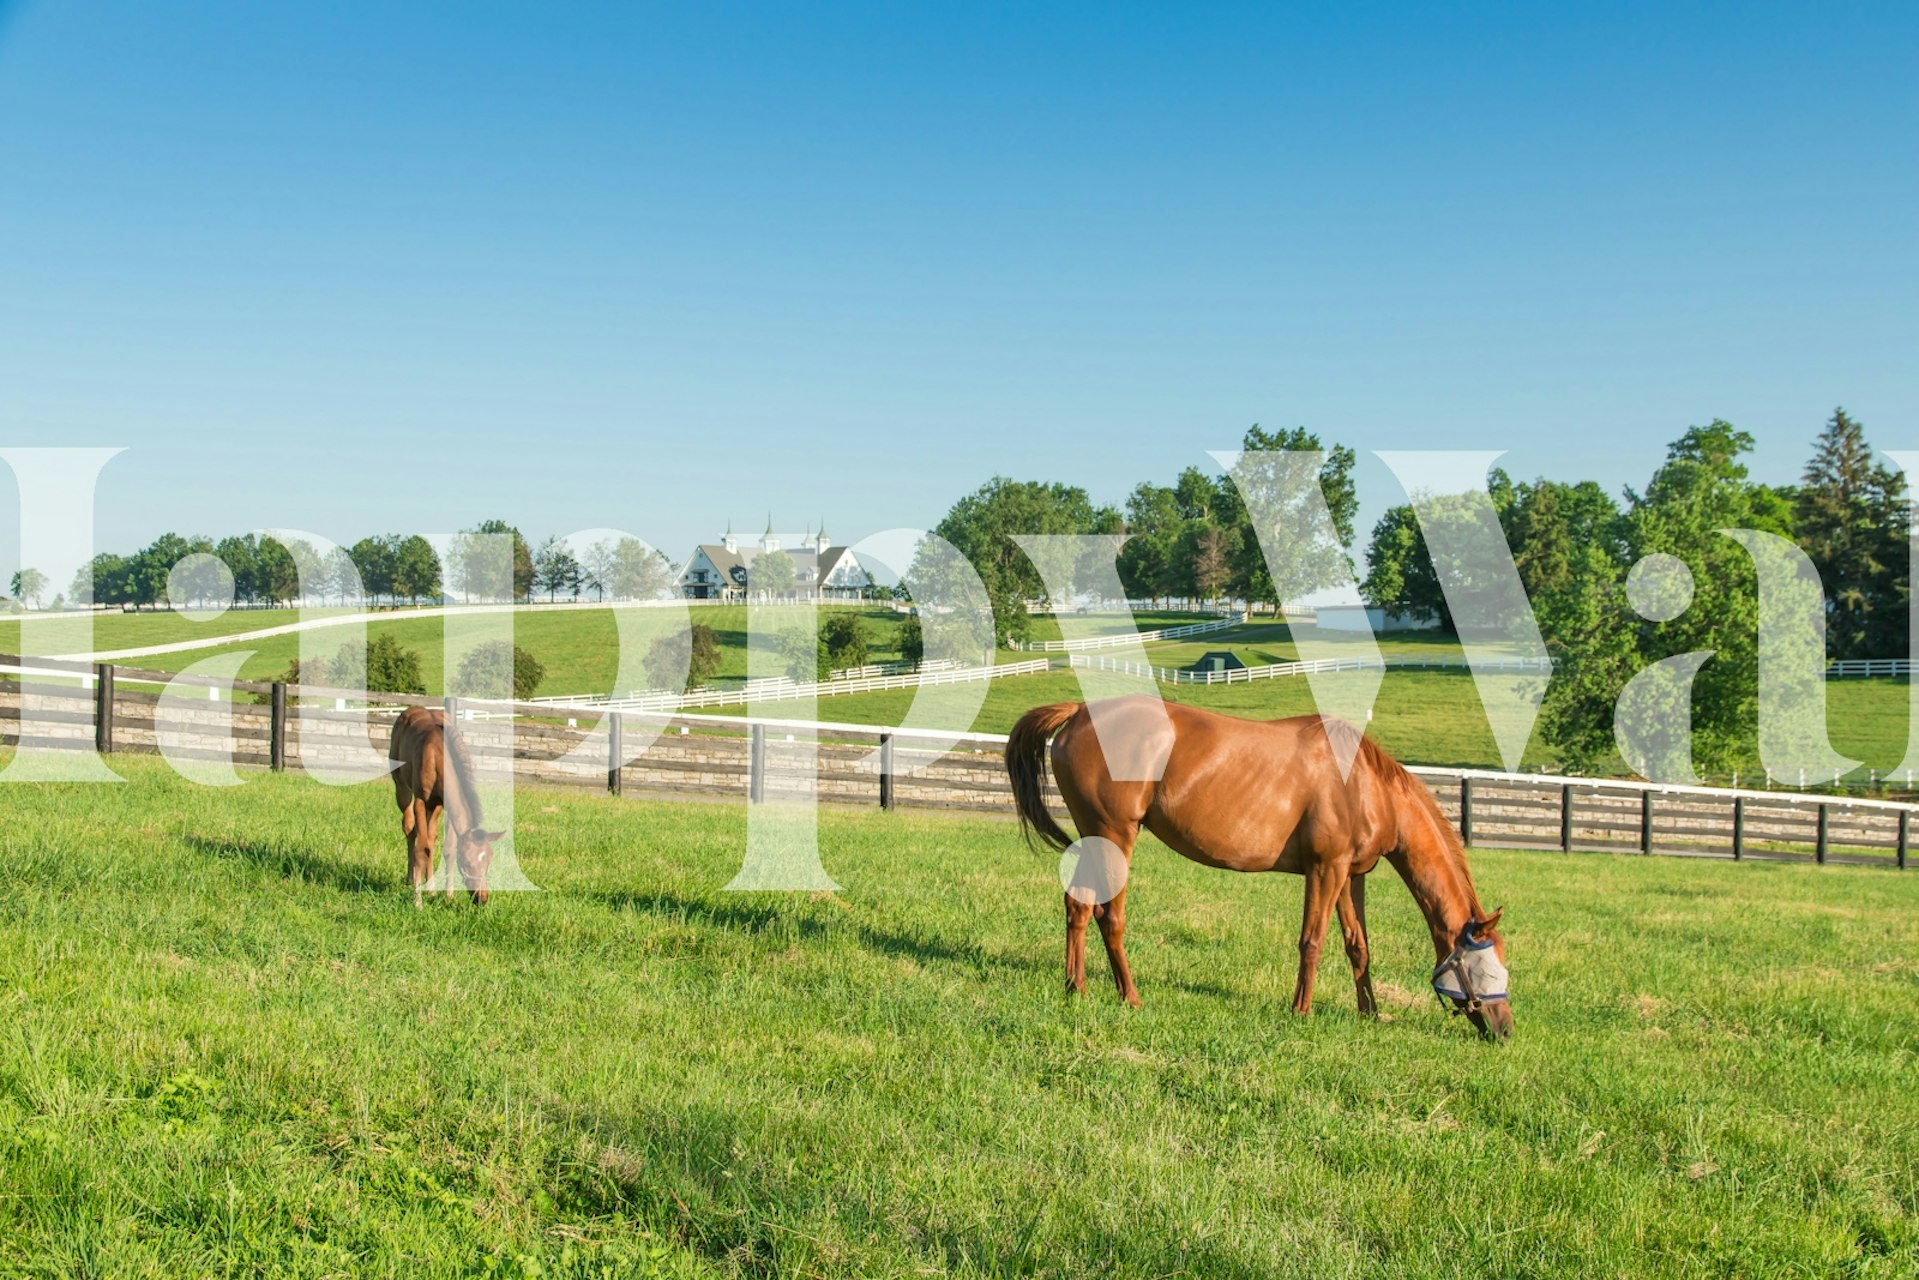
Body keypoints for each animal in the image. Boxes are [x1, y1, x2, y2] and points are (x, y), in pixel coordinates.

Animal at [388, 706, 502, 907]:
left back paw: (431, 889)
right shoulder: (421, 800)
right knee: (410, 829)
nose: (482, 898)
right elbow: (421, 848)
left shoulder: (443, 804)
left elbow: (447, 848)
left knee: (430, 837)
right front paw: (418, 902)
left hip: (434, 807)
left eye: (488, 860)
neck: (438, 756)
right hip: (401, 786)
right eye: (466, 862)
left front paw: (448, 896)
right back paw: (410, 879)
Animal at [1004, 697, 1512, 1039]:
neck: (1367, 785)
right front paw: (1300, 1011)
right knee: (1109, 916)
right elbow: (1313, 941)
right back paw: (1129, 996)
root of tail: (1078, 712)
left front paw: (1369, 1013)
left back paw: (1076, 988)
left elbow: (1358, 946)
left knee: (1077, 907)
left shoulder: (1351, 876)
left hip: (1096, 839)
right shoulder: (1325, 870)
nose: (1505, 1030)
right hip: (1115, 836)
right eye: (1488, 969)